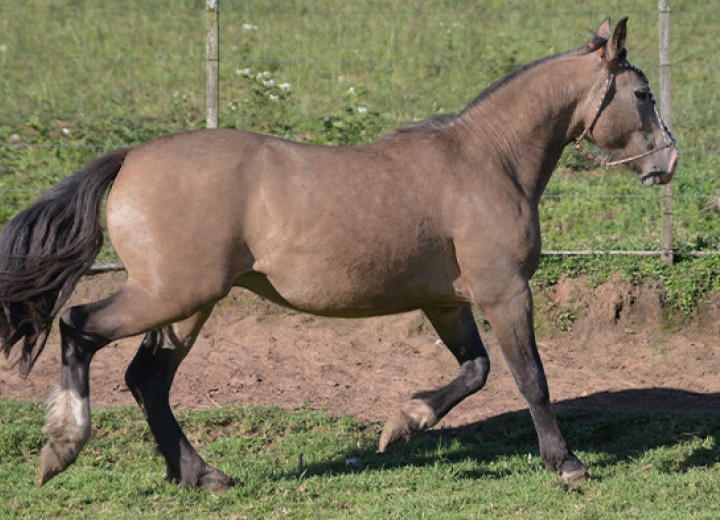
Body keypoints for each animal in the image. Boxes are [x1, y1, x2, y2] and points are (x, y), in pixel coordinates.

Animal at [0, 17, 676, 492]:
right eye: (643, 94)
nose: (668, 162)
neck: (488, 159)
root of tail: (131, 158)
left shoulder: (447, 301)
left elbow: (476, 370)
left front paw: (404, 422)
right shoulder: (505, 290)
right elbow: (530, 376)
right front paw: (566, 464)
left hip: (185, 306)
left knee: (148, 380)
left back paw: (201, 475)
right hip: (170, 293)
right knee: (79, 327)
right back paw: (63, 447)